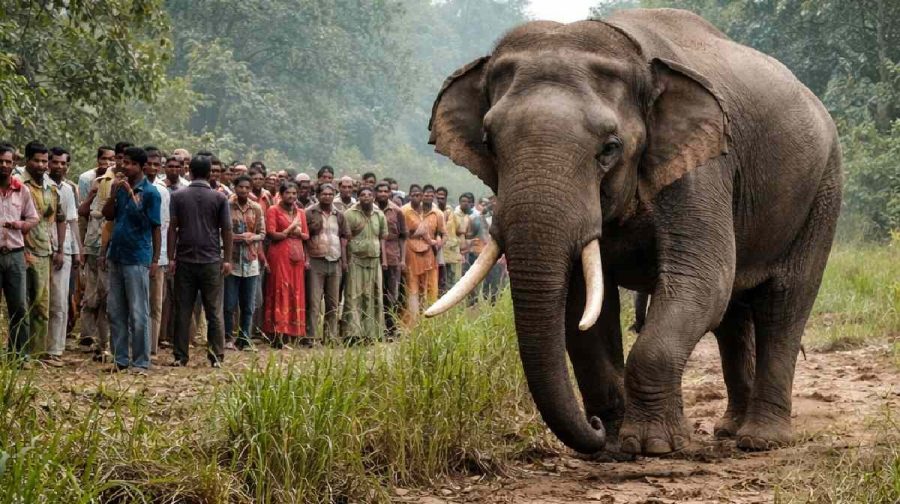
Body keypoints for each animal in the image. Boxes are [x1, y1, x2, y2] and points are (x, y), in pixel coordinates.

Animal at [424, 8, 842, 456]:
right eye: (489, 143)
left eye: (610, 148)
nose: (593, 426)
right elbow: (582, 306)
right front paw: (613, 445)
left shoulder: (703, 168)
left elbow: (701, 280)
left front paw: (652, 446)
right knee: (733, 312)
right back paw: (729, 430)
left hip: (824, 188)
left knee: (784, 302)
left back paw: (759, 440)